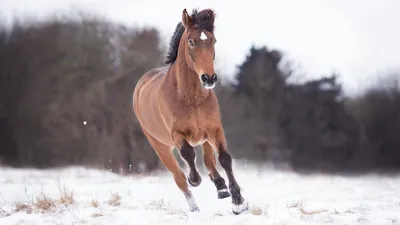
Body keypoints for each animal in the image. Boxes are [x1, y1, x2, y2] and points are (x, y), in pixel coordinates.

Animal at [133, 7, 248, 214]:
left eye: (213, 40)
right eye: (191, 41)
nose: (209, 78)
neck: (192, 97)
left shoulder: (214, 129)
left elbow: (224, 159)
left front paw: (238, 202)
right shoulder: (176, 134)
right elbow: (188, 154)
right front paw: (194, 179)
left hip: (204, 137)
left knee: (209, 160)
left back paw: (221, 187)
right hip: (160, 146)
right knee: (178, 176)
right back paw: (194, 206)